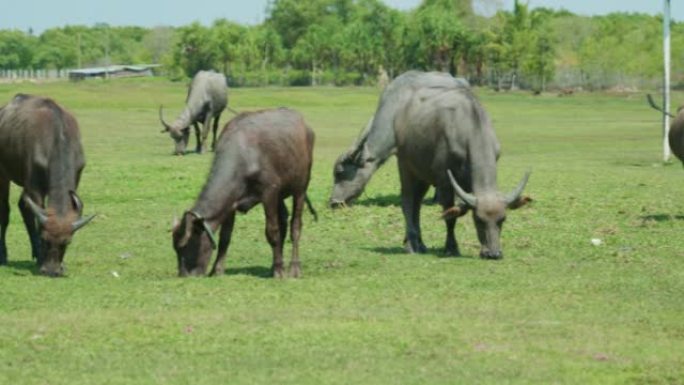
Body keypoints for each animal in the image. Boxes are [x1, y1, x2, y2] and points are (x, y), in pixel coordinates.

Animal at [0, 94, 96, 276]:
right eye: (45, 239)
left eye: (67, 242)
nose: (52, 271)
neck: (59, 138)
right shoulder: (34, 187)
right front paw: (40, 256)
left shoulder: (76, 177)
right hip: (4, 175)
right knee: (6, 211)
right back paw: (4, 254)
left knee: (23, 206)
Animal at [174, 106, 318, 278]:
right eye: (176, 249)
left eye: (186, 245)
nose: (184, 274)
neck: (245, 156)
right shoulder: (231, 202)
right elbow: (225, 236)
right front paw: (217, 270)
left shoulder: (269, 193)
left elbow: (272, 231)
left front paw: (279, 270)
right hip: (281, 196)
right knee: (283, 221)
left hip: (300, 188)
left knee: (295, 226)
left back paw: (294, 267)